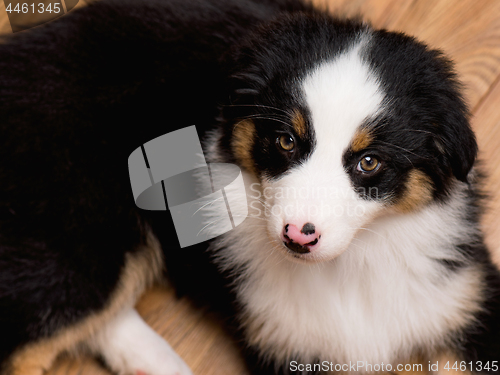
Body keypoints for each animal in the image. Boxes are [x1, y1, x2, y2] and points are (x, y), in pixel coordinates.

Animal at [0, 0, 500, 374]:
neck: (349, 265)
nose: (298, 237)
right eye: (286, 140)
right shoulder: (286, 342)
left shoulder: (467, 301)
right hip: (85, 230)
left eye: (369, 162)